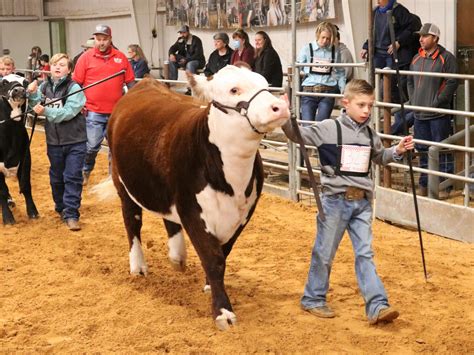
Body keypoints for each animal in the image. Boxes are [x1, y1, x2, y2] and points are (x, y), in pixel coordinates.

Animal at [0, 74, 38, 225]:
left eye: (26, 82)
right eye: (4, 82)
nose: (19, 90)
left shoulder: (26, 158)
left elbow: (26, 185)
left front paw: (33, 211)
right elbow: (2, 191)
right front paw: (8, 218)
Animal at [96, 67, 288, 330]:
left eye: (266, 84)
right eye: (234, 89)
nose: (280, 106)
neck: (232, 181)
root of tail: (146, 82)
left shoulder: (244, 214)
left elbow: (223, 252)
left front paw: (208, 285)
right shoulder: (192, 211)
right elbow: (213, 258)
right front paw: (223, 312)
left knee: (168, 219)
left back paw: (177, 257)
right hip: (123, 183)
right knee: (132, 222)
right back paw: (138, 266)